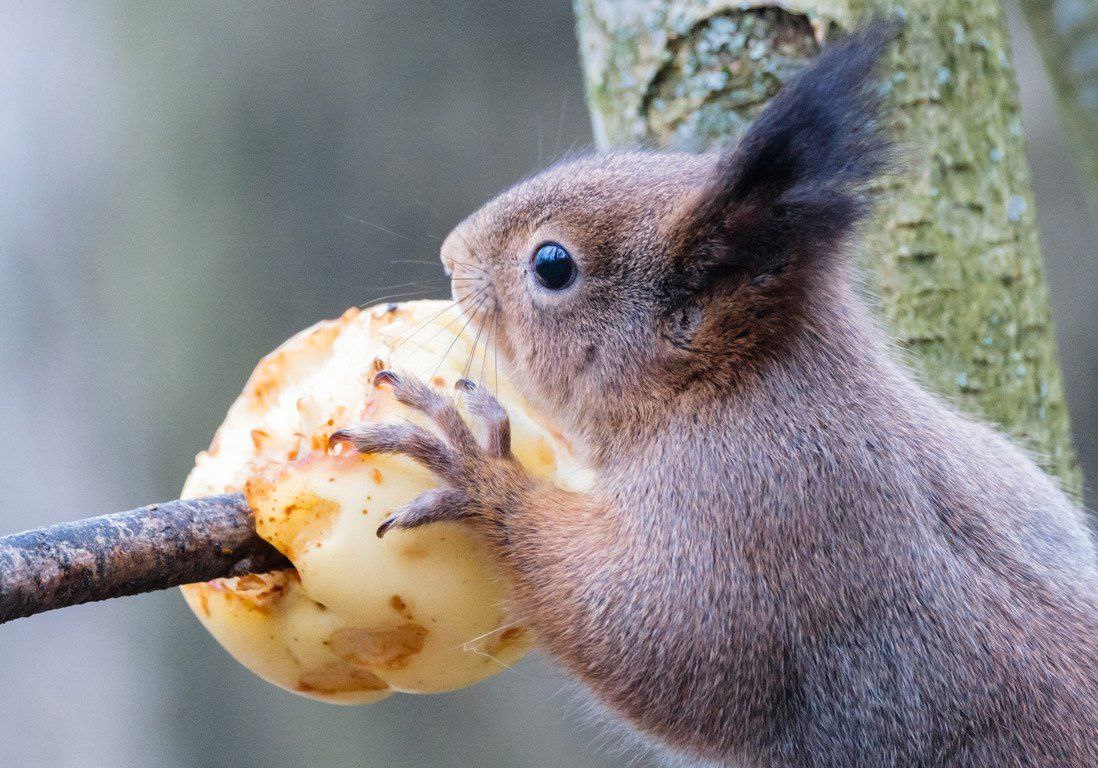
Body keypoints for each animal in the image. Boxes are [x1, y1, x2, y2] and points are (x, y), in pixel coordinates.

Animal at [331, 24, 1098, 768]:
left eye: (551, 265)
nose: (451, 253)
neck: (731, 383)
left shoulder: (761, 505)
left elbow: (653, 636)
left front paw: (478, 471)